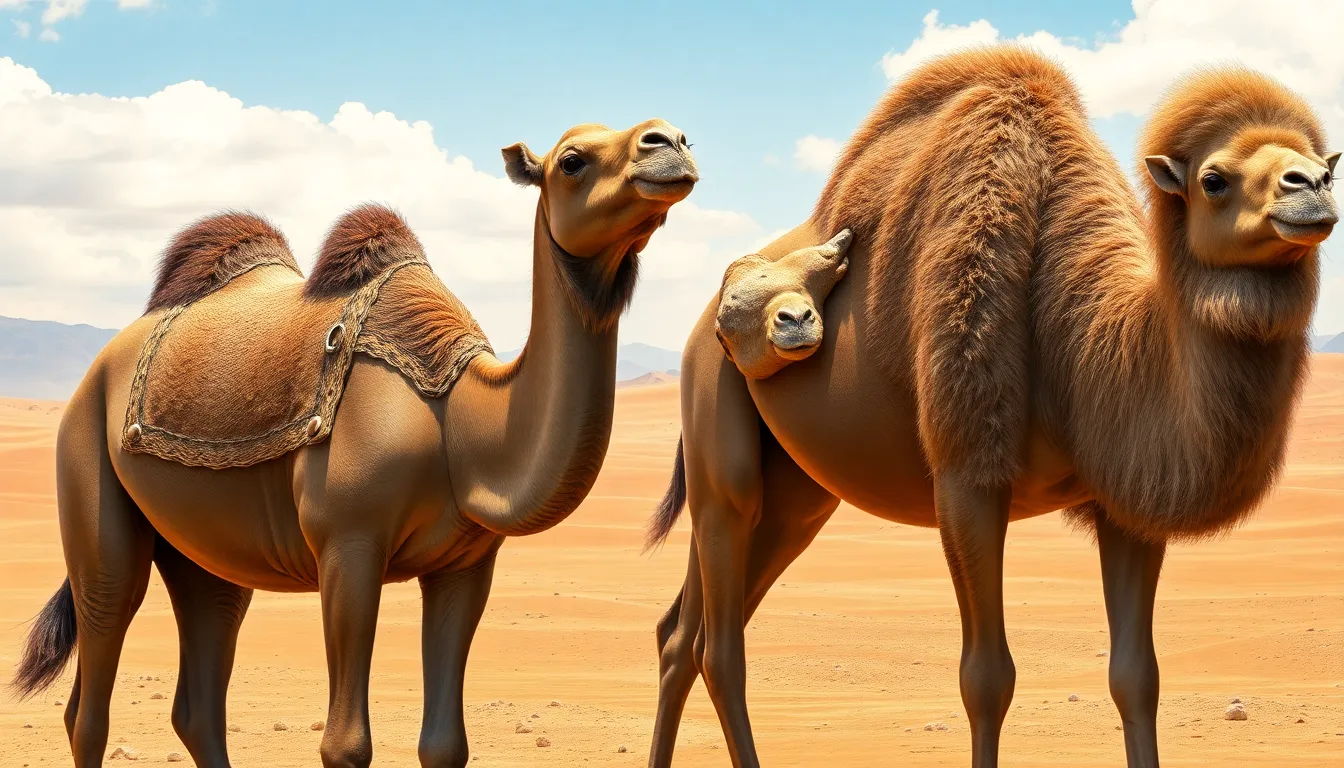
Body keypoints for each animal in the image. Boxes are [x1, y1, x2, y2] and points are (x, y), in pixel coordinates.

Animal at [13, 118, 698, 768]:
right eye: (571, 160)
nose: (671, 142)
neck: (458, 421)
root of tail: (101, 366)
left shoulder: (466, 564)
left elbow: (445, 744)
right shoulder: (349, 543)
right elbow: (345, 744)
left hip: (204, 552)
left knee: (199, 691)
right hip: (87, 471)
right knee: (94, 679)